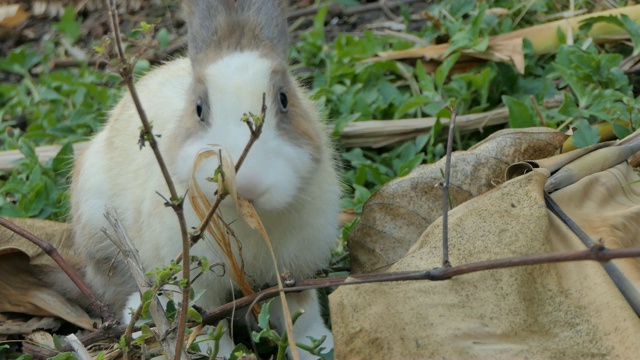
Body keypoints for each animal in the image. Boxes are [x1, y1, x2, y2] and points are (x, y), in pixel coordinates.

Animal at [68, 0, 342, 358]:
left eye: (284, 100)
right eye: (199, 109)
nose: (248, 185)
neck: (245, 218)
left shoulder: (296, 270)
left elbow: (302, 313)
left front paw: (318, 347)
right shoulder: (195, 282)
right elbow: (205, 324)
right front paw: (225, 354)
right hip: (101, 234)